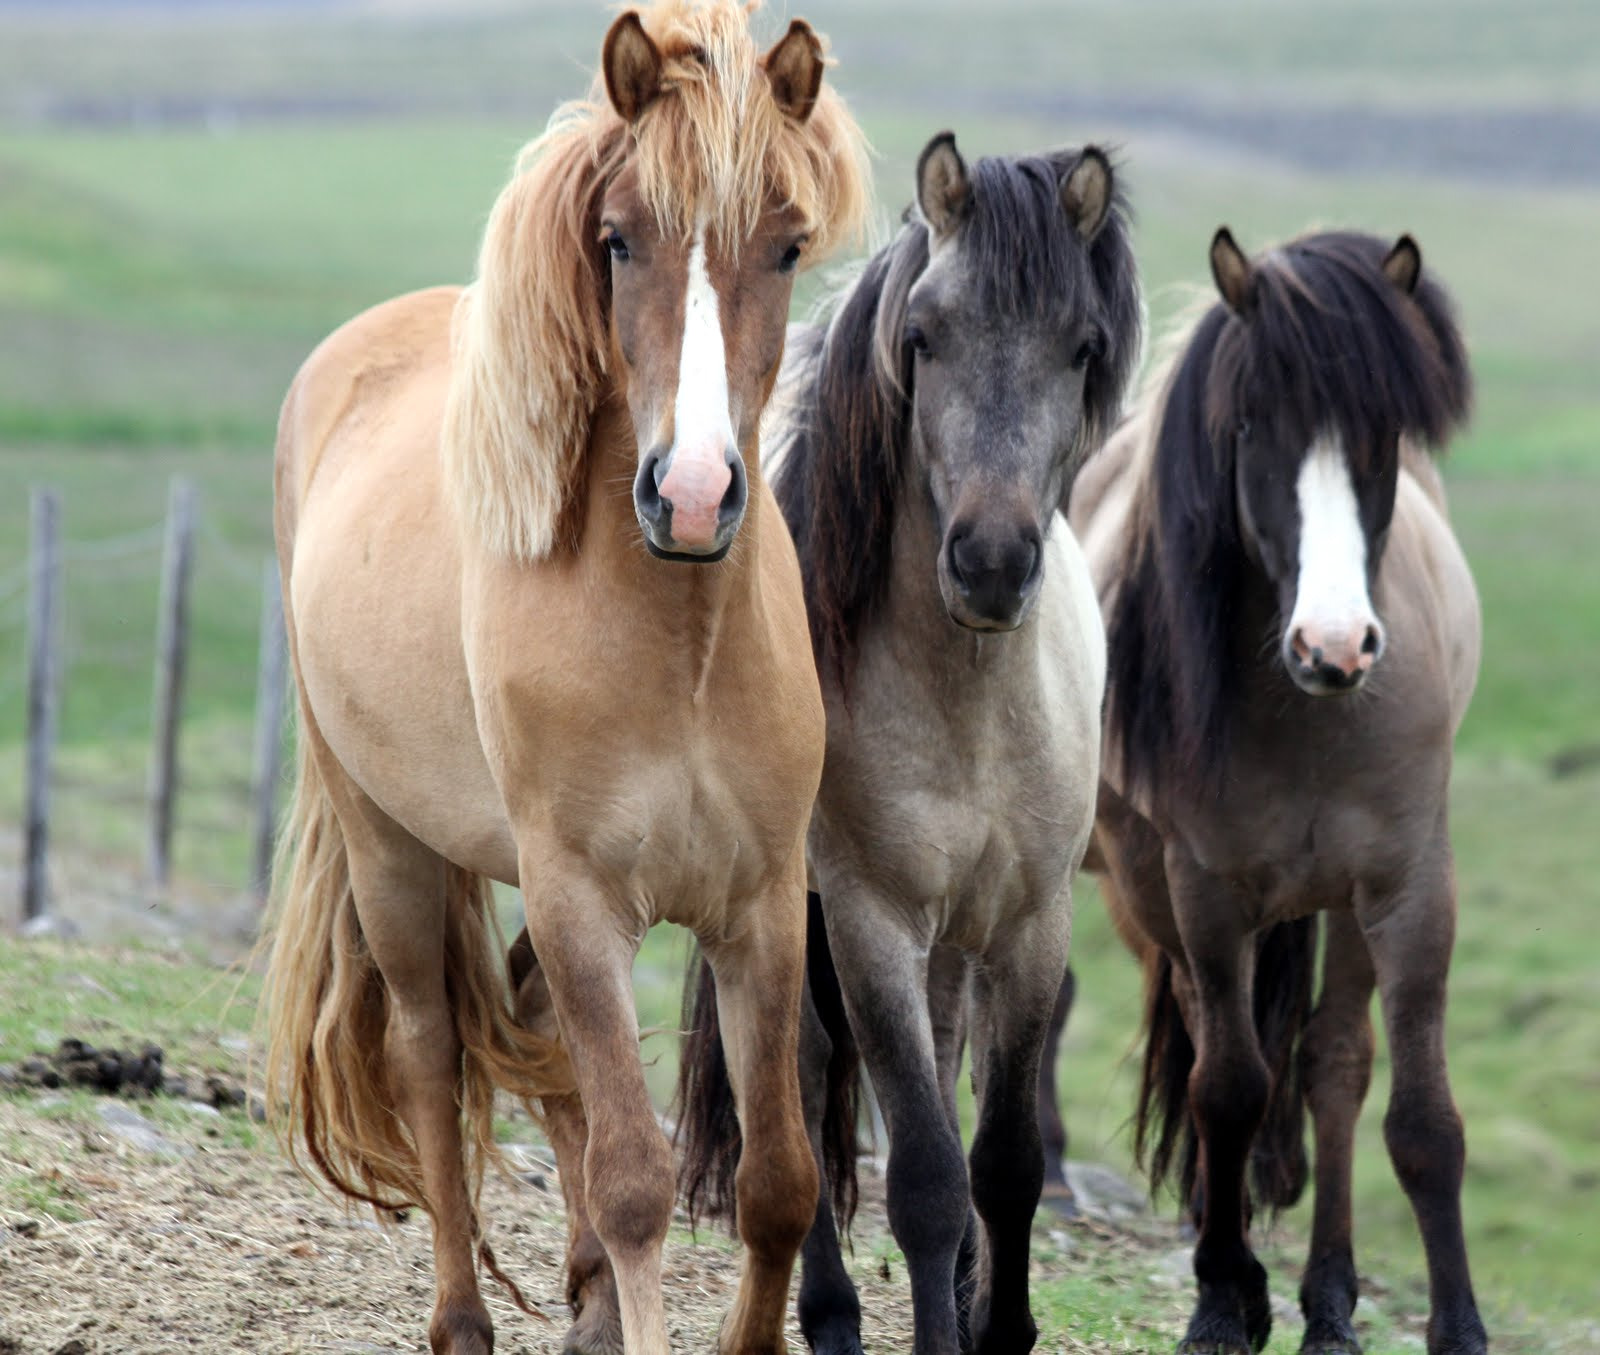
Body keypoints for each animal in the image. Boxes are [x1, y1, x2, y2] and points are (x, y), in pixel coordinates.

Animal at [261, 5, 869, 1352]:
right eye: (619, 237)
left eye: (788, 245)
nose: (690, 495)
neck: (678, 648)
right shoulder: (583, 895)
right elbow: (638, 1178)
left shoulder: (759, 905)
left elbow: (775, 1180)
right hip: (388, 847)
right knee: (431, 1055)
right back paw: (463, 1319)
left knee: (532, 1032)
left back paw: (582, 1294)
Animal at [673, 132, 1143, 1355]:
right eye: (924, 336)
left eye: (1081, 346)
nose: (990, 561)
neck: (969, 701)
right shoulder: (869, 918)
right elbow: (926, 1170)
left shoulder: (1028, 921)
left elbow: (1007, 1158)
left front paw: (999, 1324)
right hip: (797, 913)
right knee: (799, 1080)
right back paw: (831, 1313)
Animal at [1055, 226, 1485, 1355]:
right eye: (1250, 425)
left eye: (1384, 433)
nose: (1334, 645)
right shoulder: (1205, 891)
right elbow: (1229, 1087)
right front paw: (1221, 1299)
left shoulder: (1407, 886)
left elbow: (1419, 1117)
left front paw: (1456, 1325)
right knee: (1209, 1044)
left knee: (1334, 1063)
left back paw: (1328, 1302)